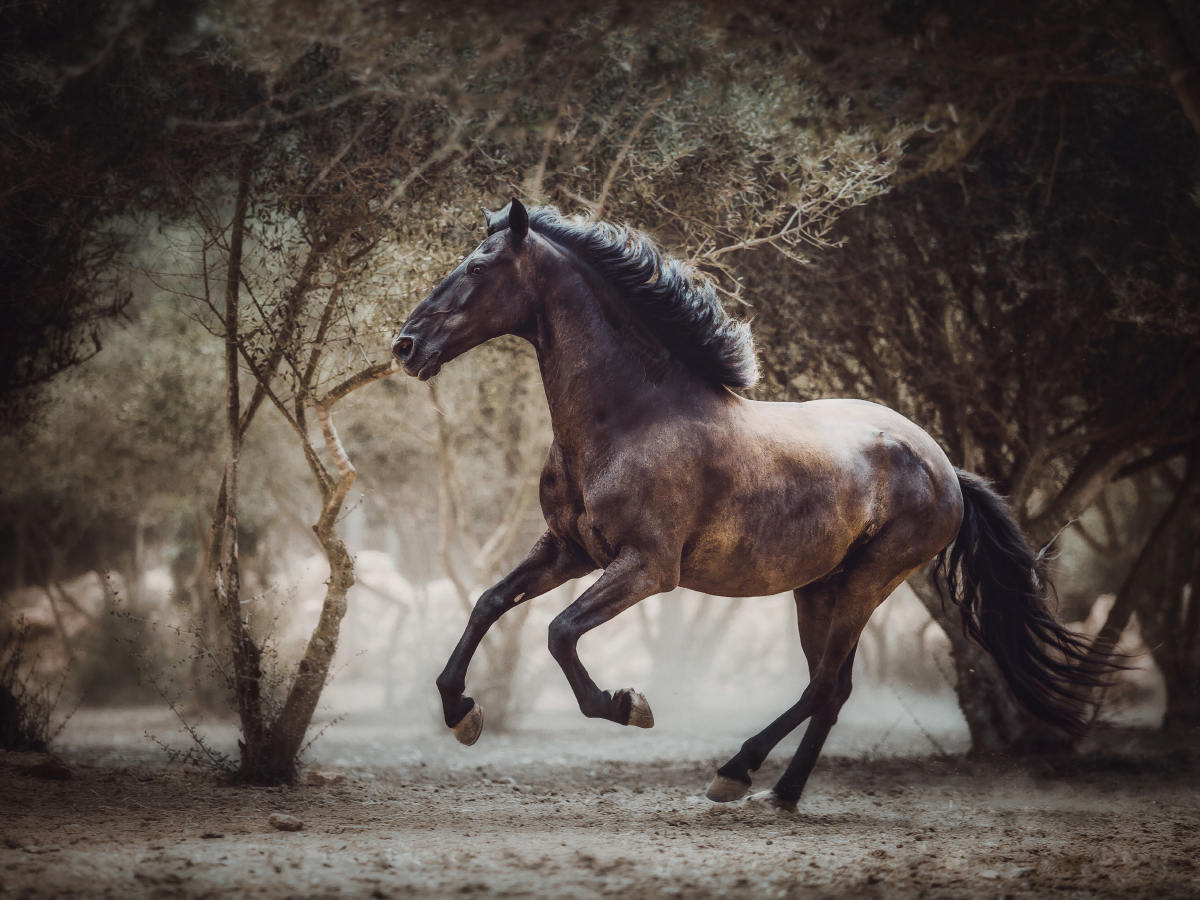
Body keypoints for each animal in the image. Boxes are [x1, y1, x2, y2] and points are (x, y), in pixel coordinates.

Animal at [393, 200, 1104, 816]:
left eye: (478, 267)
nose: (405, 346)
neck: (631, 416)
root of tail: (945, 467)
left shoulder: (647, 568)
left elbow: (559, 632)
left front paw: (628, 705)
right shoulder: (567, 549)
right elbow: (489, 602)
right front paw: (461, 713)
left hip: (869, 581)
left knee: (823, 687)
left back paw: (735, 772)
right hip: (820, 588)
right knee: (834, 690)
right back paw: (780, 793)